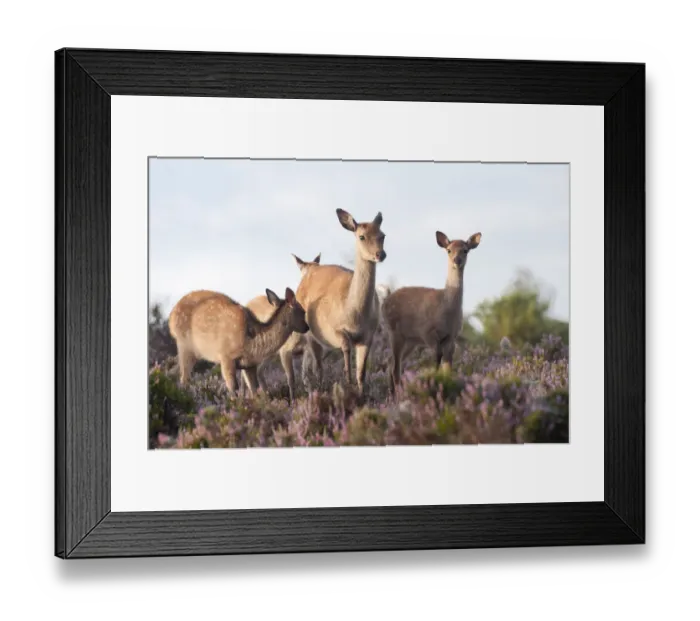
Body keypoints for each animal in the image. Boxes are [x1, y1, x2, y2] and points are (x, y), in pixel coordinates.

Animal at [168, 287, 309, 396]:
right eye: (303, 311)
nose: (307, 327)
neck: (252, 344)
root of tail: (171, 317)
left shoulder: (249, 364)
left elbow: (254, 390)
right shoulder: (226, 357)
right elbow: (232, 390)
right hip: (184, 345)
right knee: (184, 379)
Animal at [244, 253, 322, 401]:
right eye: (303, 271)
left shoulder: (306, 348)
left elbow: (306, 376)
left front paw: (312, 397)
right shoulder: (284, 350)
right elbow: (291, 379)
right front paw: (293, 401)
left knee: (259, 370)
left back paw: (266, 395)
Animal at [295, 208, 387, 396]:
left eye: (382, 235)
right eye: (361, 236)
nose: (380, 254)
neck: (354, 313)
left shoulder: (368, 335)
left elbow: (361, 371)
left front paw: (361, 393)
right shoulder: (337, 330)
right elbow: (346, 355)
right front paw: (347, 385)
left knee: (310, 363)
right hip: (310, 334)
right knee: (317, 366)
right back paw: (317, 389)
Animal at [382, 230, 482, 396]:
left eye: (465, 250)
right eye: (449, 250)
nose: (457, 260)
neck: (446, 309)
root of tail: (384, 301)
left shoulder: (451, 337)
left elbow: (447, 367)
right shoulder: (427, 332)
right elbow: (436, 360)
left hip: (410, 340)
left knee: (391, 362)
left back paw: (392, 394)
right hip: (394, 332)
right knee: (395, 366)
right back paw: (398, 395)